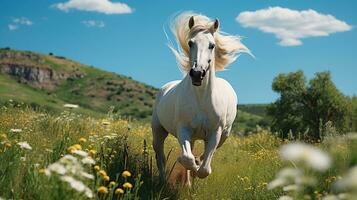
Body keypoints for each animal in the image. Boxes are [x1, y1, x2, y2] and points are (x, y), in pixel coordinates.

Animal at [152, 12, 249, 183]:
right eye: (190, 43)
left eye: (212, 45)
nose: (197, 73)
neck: (201, 98)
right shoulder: (183, 129)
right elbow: (187, 158)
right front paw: (186, 162)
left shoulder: (215, 133)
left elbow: (204, 168)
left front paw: (198, 168)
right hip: (159, 131)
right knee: (161, 157)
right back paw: (165, 180)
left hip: (223, 135)